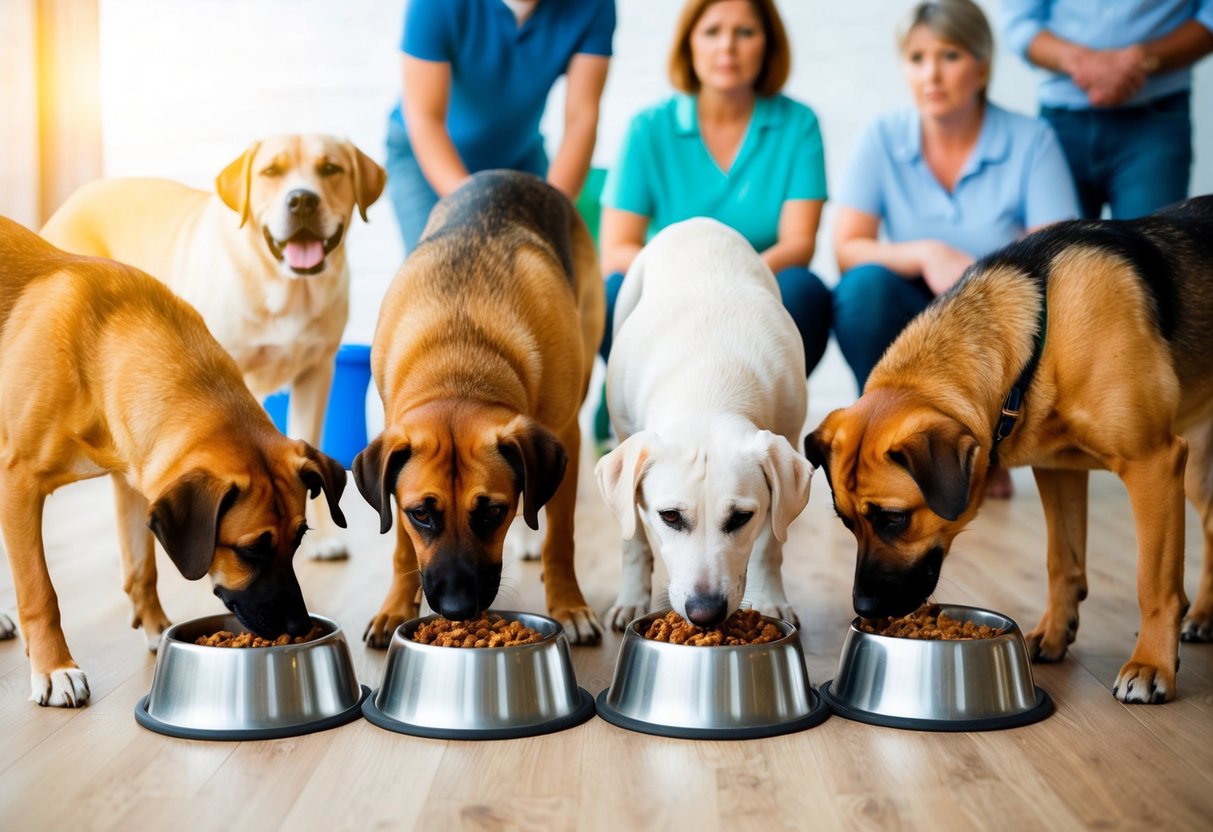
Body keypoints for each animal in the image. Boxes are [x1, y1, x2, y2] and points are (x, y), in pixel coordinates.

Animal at [1, 218, 351, 708]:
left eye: (299, 538)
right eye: (250, 550)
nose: (299, 627)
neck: (100, 346)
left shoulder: (134, 481)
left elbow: (141, 568)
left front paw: (157, 629)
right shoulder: (18, 482)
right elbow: (38, 589)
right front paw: (54, 668)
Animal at [42, 135, 383, 560]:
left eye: (331, 169)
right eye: (271, 171)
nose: (302, 200)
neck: (286, 289)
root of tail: (73, 198)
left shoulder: (316, 372)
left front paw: (320, 538)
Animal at [354, 171, 611, 645]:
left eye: (493, 511)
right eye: (421, 514)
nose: (458, 609)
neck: (460, 358)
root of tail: (510, 174)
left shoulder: (566, 434)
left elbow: (561, 538)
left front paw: (568, 605)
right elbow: (400, 547)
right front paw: (395, 608)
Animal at [591, 218, 810, 630]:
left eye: (741, 517)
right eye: (670, 516)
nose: (705, 613)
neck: (711, 387)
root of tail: (698, 222)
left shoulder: (789, 437)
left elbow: (772, 542)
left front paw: (770, 598)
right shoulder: (625, 440)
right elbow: (632, 539)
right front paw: (632, 597)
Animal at [805, 198, 1213, 708]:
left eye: (894, 519)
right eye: (846, 522)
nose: (861, 606)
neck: (1042, 340)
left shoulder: (1152, 463)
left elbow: (1154, 584)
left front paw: (1152, 664)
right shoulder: (1058, 471)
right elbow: (1062, 562)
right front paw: (1055, 634)